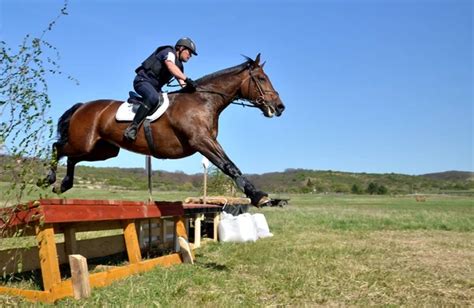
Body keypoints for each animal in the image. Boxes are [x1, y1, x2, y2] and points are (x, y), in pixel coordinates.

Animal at [39, 53, 286, 207]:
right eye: (261, 78)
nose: (280, 107)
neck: (203, 100)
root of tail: (83, 106)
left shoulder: (209, 141)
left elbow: (230, 164)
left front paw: (261, 196)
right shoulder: (201, 141)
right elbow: (229, 166)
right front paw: (259, 196)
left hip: (102, 150)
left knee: (72, 158)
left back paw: (64, 185)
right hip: (84, 142)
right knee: (58, 147)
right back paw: (48, 179)